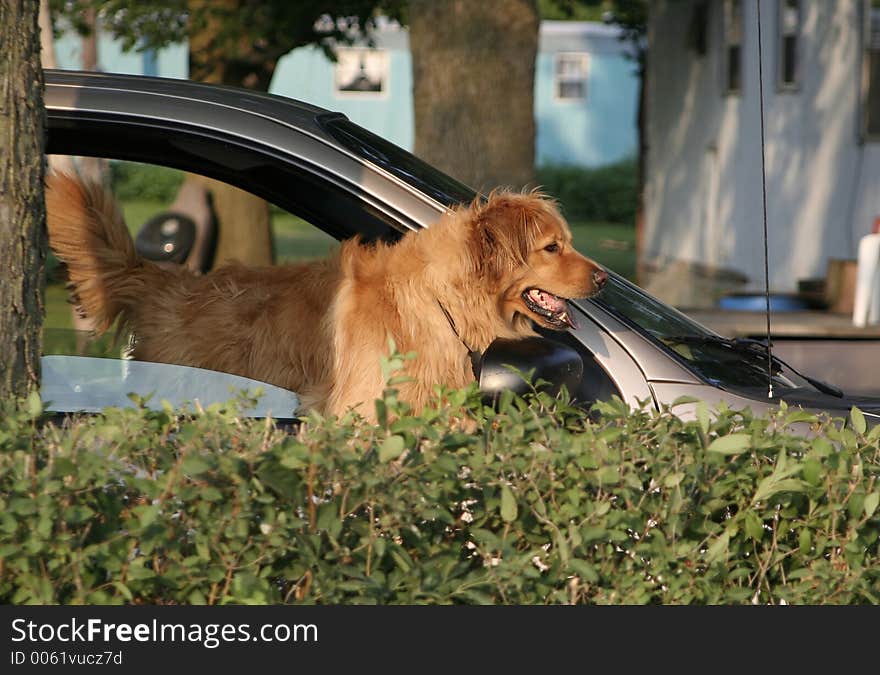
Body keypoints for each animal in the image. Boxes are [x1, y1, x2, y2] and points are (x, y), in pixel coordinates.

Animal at [44, 172, 608, 420]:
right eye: (553, 247)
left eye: (568, 242)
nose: (604, 279)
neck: (437, 299)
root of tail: (168, 279)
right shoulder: (360, 411)